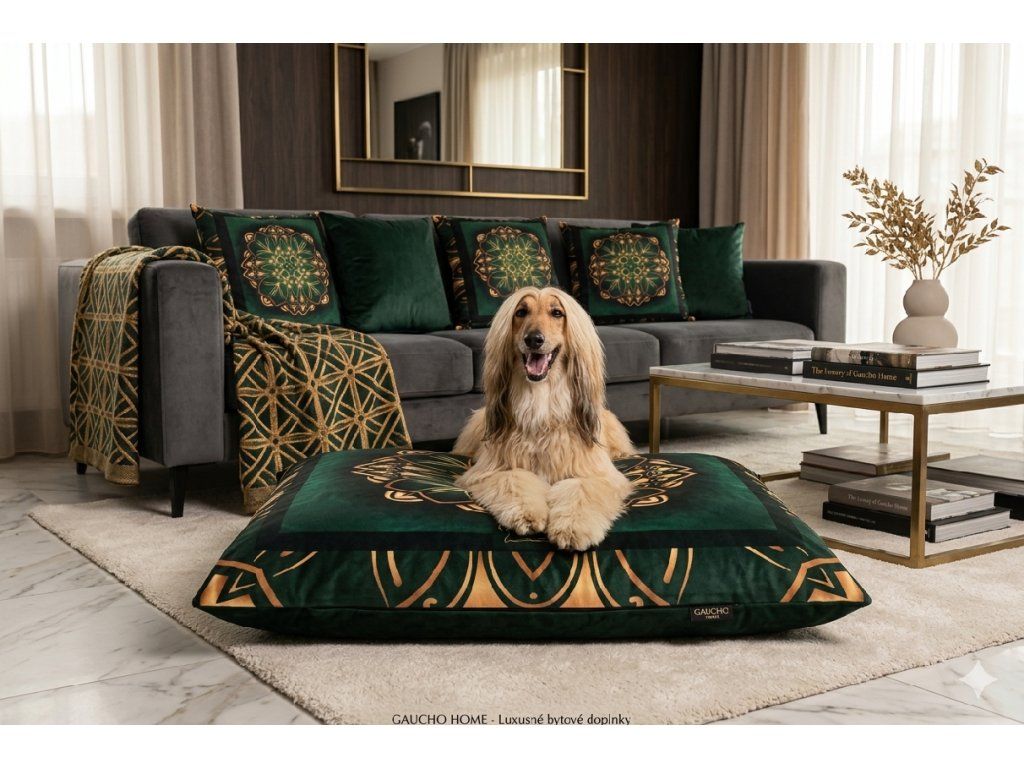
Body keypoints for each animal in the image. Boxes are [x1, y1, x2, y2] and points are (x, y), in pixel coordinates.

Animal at [454, 286, 635, 550]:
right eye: (521, 312)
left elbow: (581, 489)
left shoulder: (594, 472)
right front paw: (526, 515)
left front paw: (572, 528)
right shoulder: (492, 469)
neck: (541, 404)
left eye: (557, 312)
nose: (534, 340)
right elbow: (513, 479)